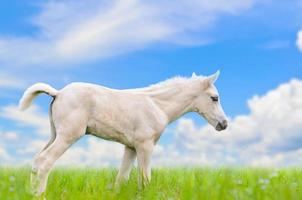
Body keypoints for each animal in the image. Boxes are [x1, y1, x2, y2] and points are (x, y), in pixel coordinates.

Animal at [19, 71, 226, 196]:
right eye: (214, 98)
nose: (223, 124)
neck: (157, 106)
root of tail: (58, 93)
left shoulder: (131, 147)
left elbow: (122, 178)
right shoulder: (145, 146)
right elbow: (145, 178)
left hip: (54, 135)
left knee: (36, 162)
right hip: (68, 136)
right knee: (45, 162)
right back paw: (40, 195)